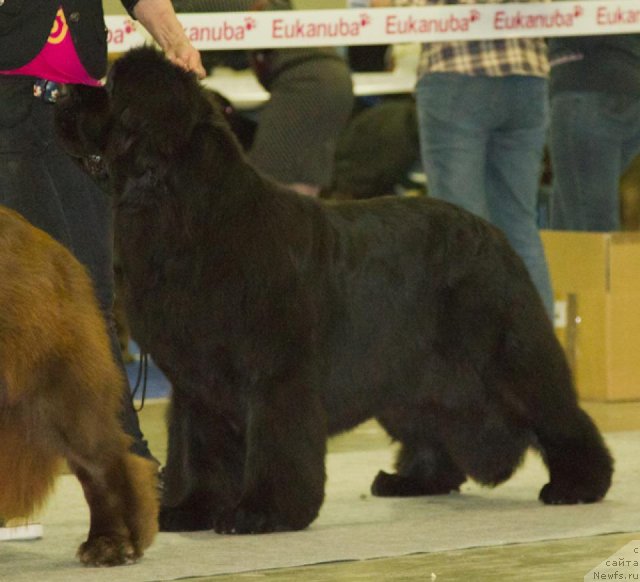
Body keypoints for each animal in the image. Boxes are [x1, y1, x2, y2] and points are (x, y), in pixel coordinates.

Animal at [57, 48, 612, 536]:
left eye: (110, 87)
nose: (62, 92)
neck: (189, 215)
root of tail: (492, 231)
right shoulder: (196, 382)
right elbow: (197, 449)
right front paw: (191, 509)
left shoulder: (275, 375)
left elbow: (274, 445)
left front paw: (261, 512)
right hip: (411, 376)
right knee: (432, 425)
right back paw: (412, 480)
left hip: (506, 353)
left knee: (556, 411)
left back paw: (579, 484)